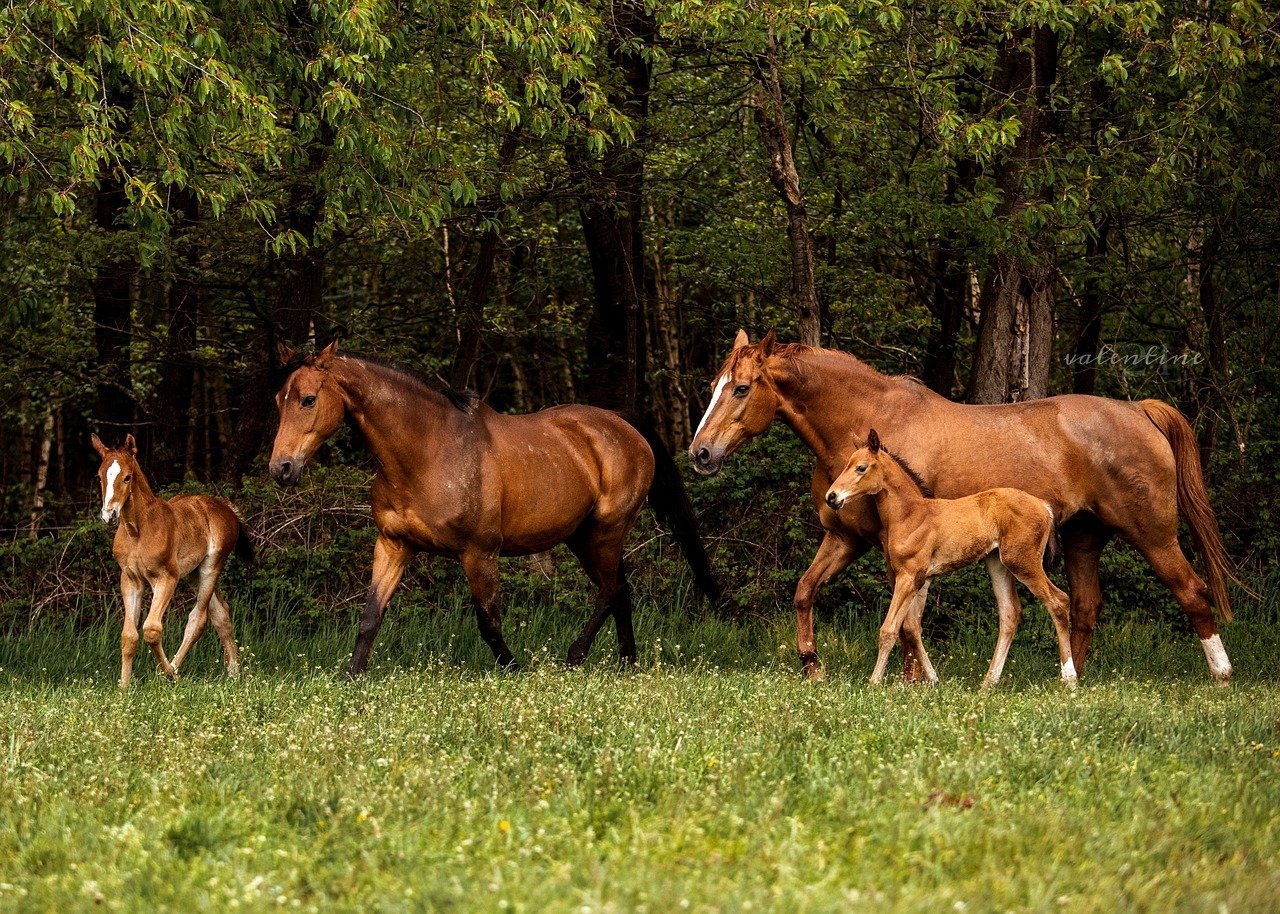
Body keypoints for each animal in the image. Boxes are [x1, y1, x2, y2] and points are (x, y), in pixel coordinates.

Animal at [92, 435, 247, 686]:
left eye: (127, 477)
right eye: (99, 476)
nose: (109, 515)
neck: (137, 531)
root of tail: (227, 508)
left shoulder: (166, 578)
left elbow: (151, 629)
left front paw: (167, 674)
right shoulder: (131, 579)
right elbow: (129, 635)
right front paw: (124, 687)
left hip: (210, 569)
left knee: (198, 619)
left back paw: (174, 670)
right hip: (193, 574)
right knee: (221, 614)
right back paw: (233, 672)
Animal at [270, 337, 721, 670]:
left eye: (308, 399)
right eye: (279, 400)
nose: (282, 468)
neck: (428, 451)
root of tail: (623, 424)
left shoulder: (479, 552)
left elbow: (488, 622)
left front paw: (514, 668)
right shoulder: (394, 544)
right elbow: (370, 617)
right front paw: (353, 676)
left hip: (605, 534)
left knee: (612, 590)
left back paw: (578, 655)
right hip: (585, 538)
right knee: (619, 591)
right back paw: (627, 662)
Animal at [824, 430, 1075, 686]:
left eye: (861, 468)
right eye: (848, 464)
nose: (831, 497)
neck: (910, 515)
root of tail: (1044, 506)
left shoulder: (908, 576)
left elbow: (889, 629)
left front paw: (874, 683)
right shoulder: (922, 580)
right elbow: (912, 628)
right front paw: (934, 679)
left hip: (1023, 562)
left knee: (1058, 601)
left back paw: (1070, 678)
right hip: (998, 564)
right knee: (1010, 613)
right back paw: (988, 683)